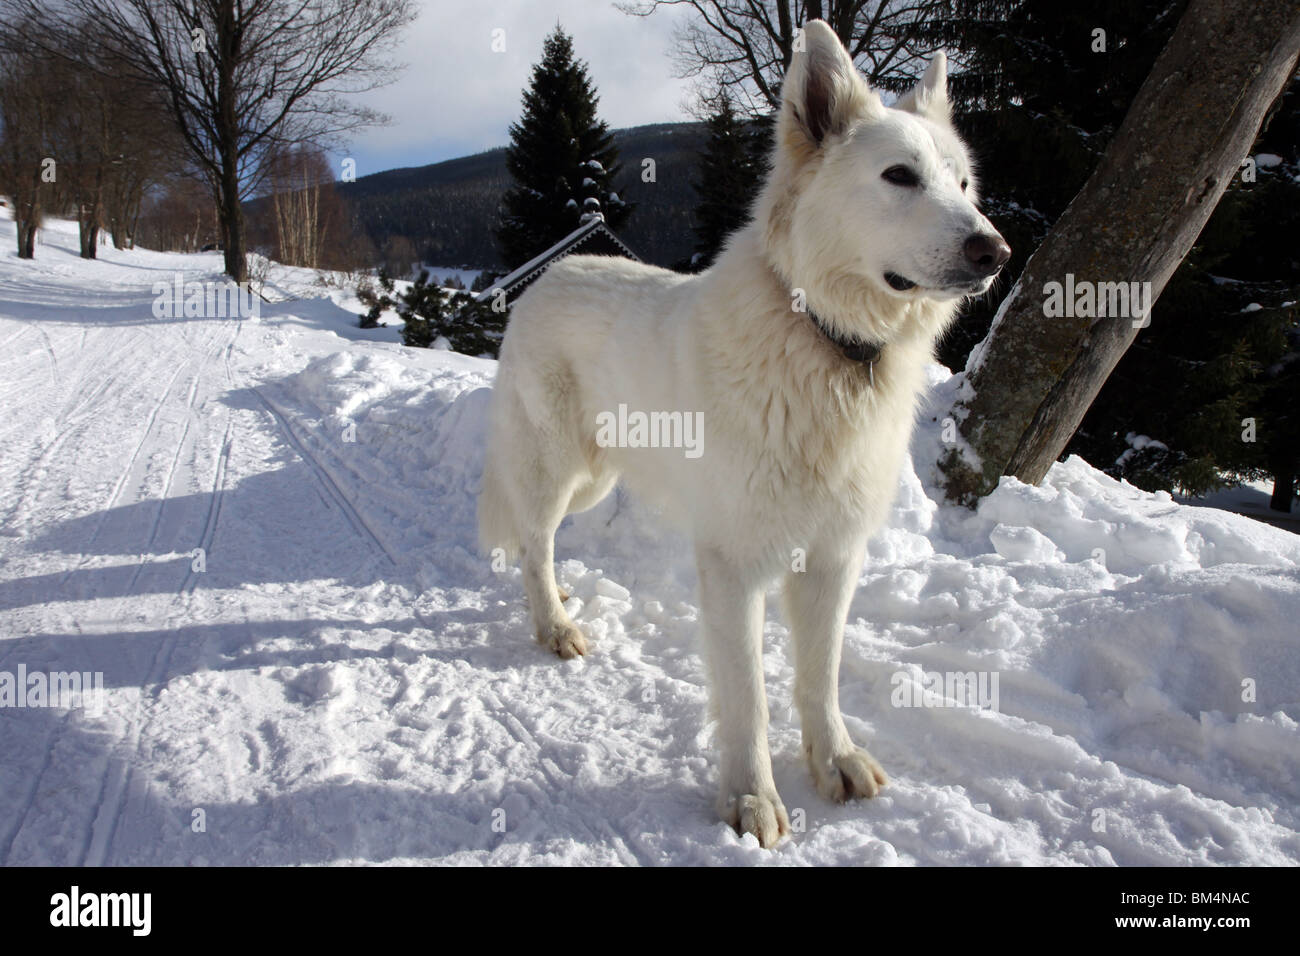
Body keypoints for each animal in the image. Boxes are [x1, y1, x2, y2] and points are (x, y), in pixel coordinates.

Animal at [483, 20, 1008, 842]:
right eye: (899, 176)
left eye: (961, 186)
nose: (996, 251)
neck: (824, 341)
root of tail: (549, 278)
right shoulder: (735, 569)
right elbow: (750, 698)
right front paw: (751, 799)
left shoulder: (832, 558)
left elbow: (819, 678)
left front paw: (835, 761)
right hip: (555, 468)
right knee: (533, 542)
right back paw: (555, 625)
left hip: (596, 479)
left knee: (545, 541)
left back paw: (562, 599)